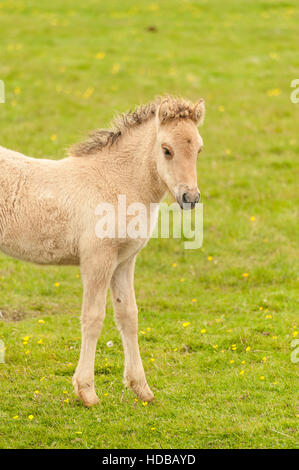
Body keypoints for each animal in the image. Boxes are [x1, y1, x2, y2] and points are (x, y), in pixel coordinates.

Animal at [0, 97, 205, 406]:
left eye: (199, 149)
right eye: (166, 149)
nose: (190, 198)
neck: (115, 183)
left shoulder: (124, 261)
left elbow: (128, 316)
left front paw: (141, 388)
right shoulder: (97, 259)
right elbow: (93, 318)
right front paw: (86, 392)